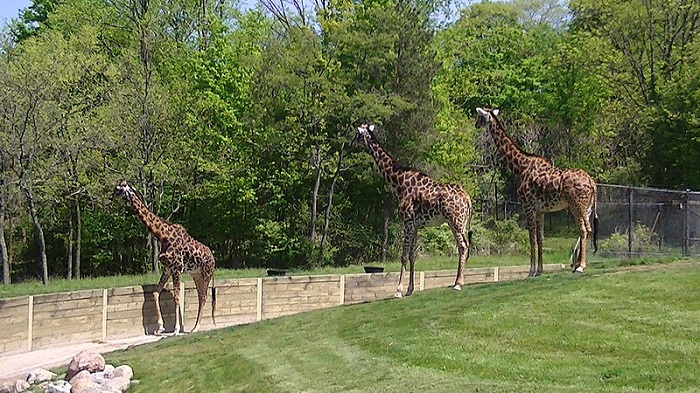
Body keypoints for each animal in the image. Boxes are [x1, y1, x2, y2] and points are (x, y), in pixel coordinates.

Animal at [113, 180, 216, 334]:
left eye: (118, 189)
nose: (111, 198)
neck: (163, 236)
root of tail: (213, 258)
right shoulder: (167, 269)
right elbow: (155, 293)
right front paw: (160, 327)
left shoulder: (177, 268)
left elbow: (177, 297)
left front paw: (176, 329)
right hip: (196, 274)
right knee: (200, 296)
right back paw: (193, 326)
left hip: (206, 274)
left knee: (203, 297)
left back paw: (196, 327)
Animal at [356, 124, 470, 296]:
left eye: (356, 133)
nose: (351, 143)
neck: (398, 182)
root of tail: (467, 199)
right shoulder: (415, 226)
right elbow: (412, 255)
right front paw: (410, 289)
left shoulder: (407, 222)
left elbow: (403, 256)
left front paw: (398, 290)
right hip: (460, 223)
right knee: (466, 246)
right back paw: (459, 281)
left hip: (455, 221)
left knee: (463, 247)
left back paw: (458, 284)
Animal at [476, 105, 596, 274]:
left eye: (480, 116)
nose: (476, 125)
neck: (520, 166)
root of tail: (592, 182)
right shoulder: (541, 210)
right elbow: (540, 239)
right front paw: (539, 269)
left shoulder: (528, 206)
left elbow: (531, 238)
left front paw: (531, 270)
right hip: (588, 207)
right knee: (588, 230)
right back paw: (578, 264)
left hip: (576, 205)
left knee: (584, 229)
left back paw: (580, 266)